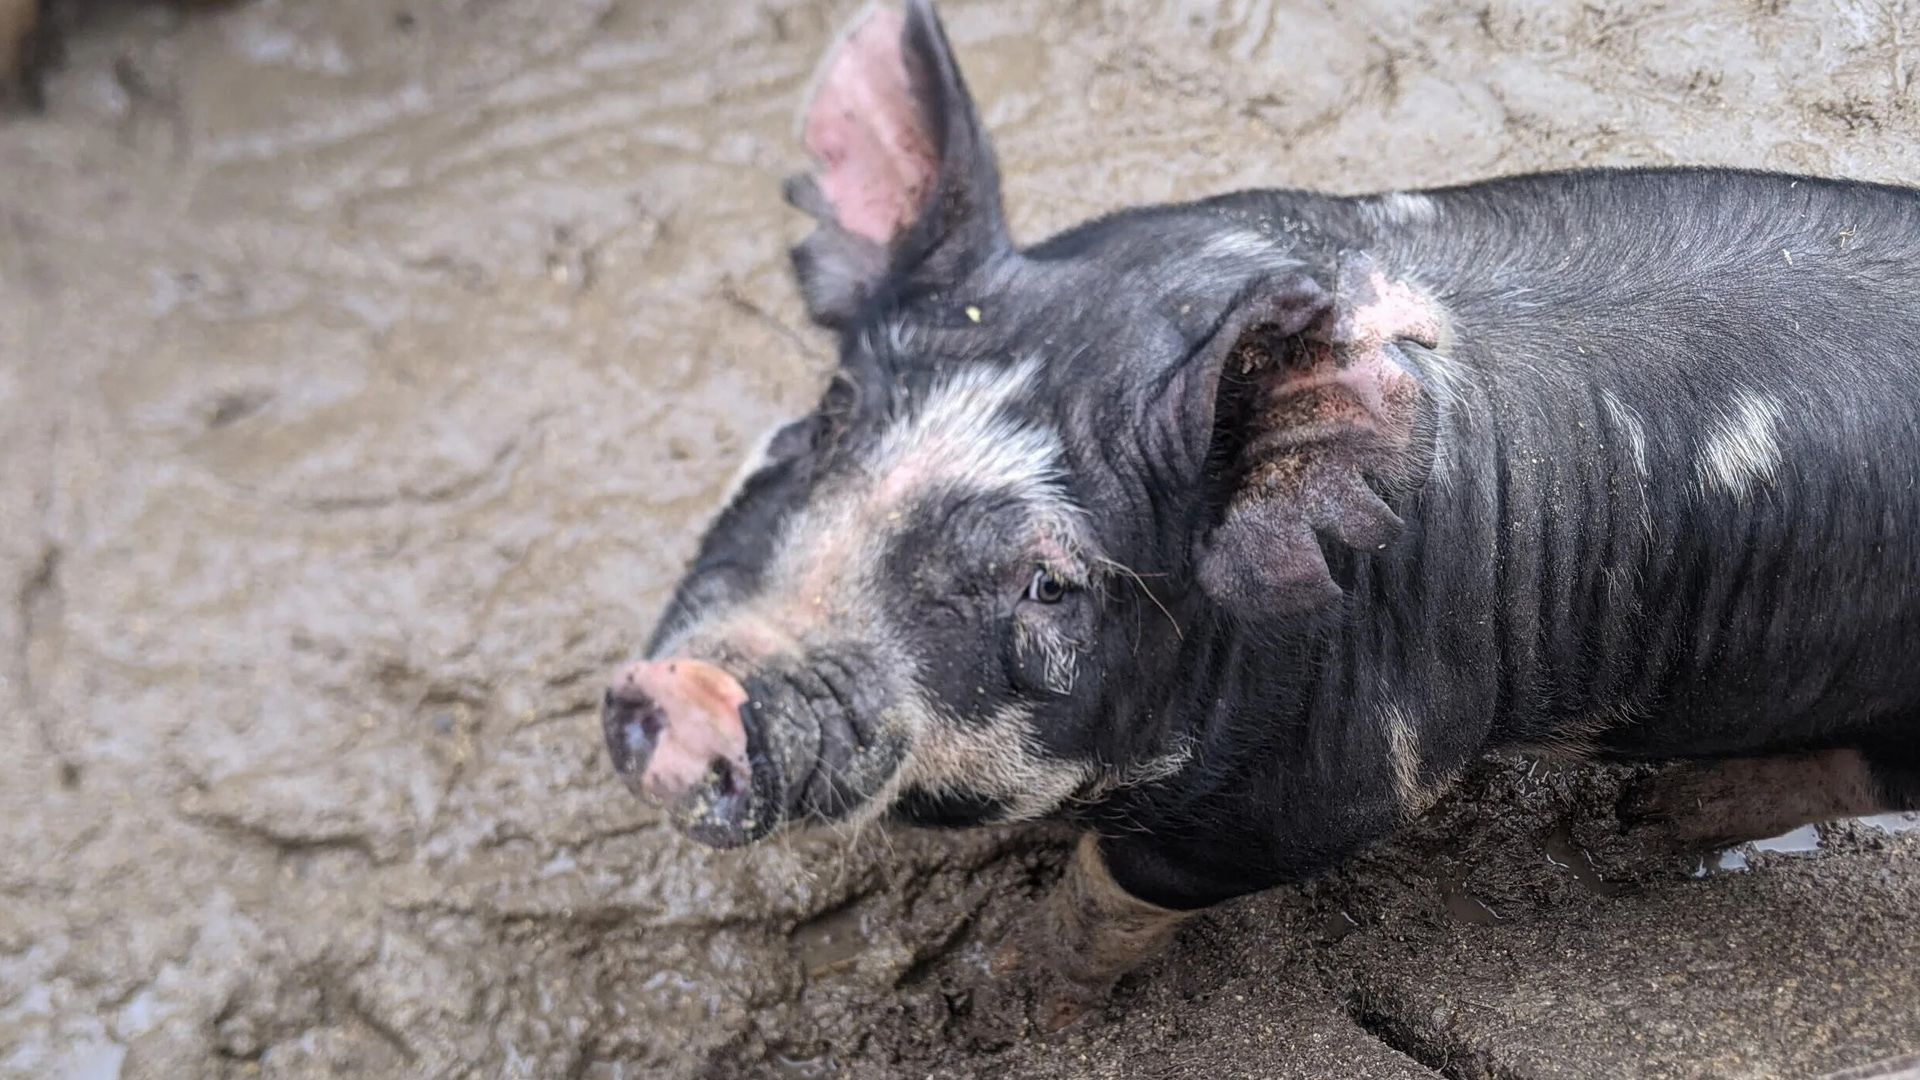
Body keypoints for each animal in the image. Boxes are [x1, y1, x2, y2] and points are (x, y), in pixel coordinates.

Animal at [603, 0, 1920, 1031]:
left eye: (1050, 581)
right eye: (831, 413)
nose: (700, 688)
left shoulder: (1345, 776)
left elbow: (1118, 877)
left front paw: (1015, 997)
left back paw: (1656, 824)